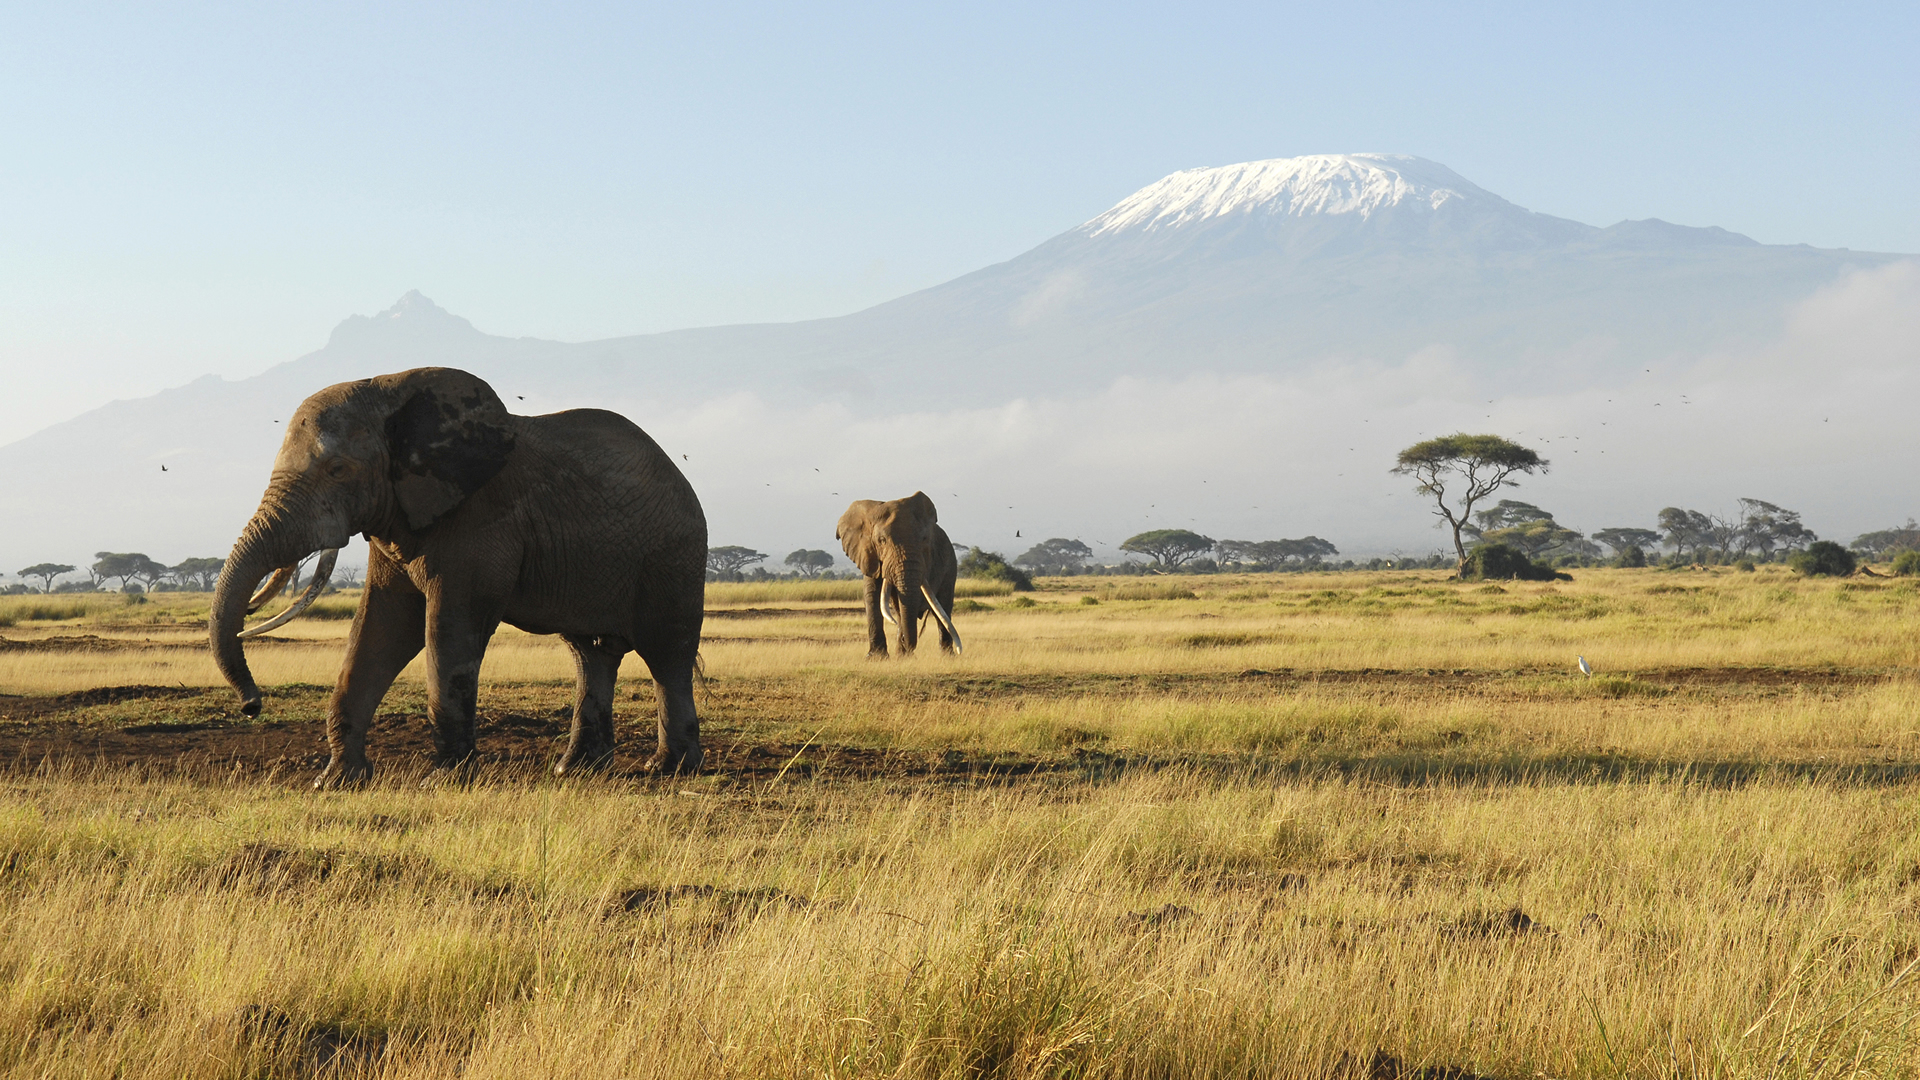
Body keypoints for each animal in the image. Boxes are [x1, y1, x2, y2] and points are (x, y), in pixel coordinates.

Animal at [212, 367, 706, 780]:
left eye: (337, 470)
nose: (252, 705)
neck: (390, 391)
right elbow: (381, 628)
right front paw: (337, 780)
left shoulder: (479, 519)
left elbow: (448, 629)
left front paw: (447, 777)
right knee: (591, 653)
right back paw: (577, 770)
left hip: (674, 557)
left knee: (668, 656)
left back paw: (670, 769)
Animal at [837, 490, 960, 657]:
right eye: (881, 540)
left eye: (924, 539)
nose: (909, 649)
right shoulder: (869, 555)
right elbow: (872, 595)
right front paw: (877, 657)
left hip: (950, 564)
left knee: (942, 608)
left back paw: (946, 656)